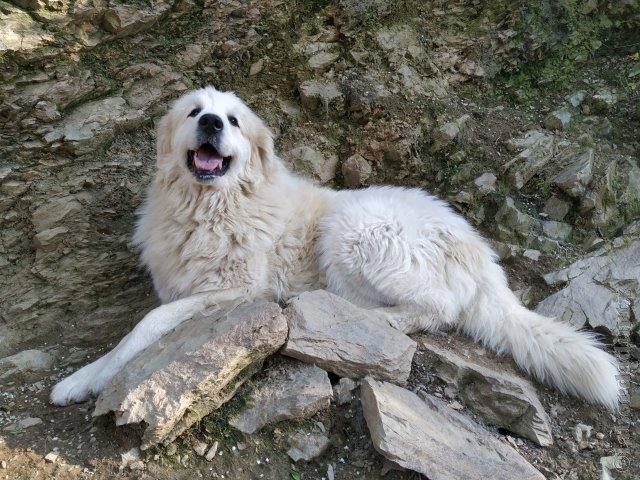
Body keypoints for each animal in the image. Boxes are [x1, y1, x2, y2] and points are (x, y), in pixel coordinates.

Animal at [50, 85, 620, 408]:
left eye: (232, 120)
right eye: (195, 113)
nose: (211, 123)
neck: (211, 207)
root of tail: (477, 249)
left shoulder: (236, 292)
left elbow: (146, 325)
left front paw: (85, 379)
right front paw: (84, 377)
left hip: (349, 229)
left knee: (437, 308)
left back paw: (368, 318)